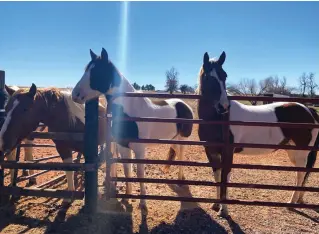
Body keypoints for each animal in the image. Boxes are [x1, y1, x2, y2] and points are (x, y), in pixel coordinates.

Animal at [198, 50, 319, 218]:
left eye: (225, 76)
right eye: (209, 77)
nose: (224, 106)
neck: (218, 119)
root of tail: (309, 110)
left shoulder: (228, 153)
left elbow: (225, 178)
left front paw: (224, 210)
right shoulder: (211, 152)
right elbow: (217, 177)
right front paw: (216, 205)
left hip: (300, 153)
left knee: (300, 174)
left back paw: (291, 203)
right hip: (293, 151)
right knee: (305, 173)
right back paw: (299, 199)